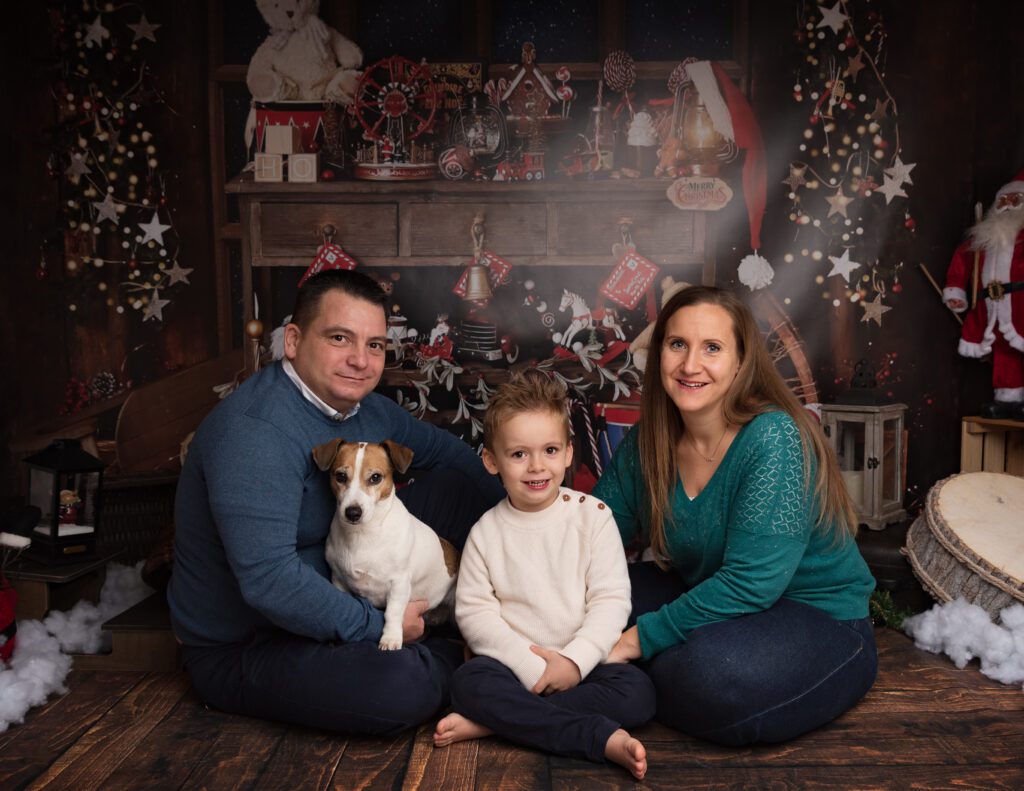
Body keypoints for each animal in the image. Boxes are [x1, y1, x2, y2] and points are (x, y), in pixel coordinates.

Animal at [309, 438, 458, 647]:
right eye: (340, 476)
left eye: (375, 477)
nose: (353, 512)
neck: (364, 534)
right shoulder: (339, 580)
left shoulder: (399, 584)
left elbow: (393, 613)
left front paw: (391, 638)